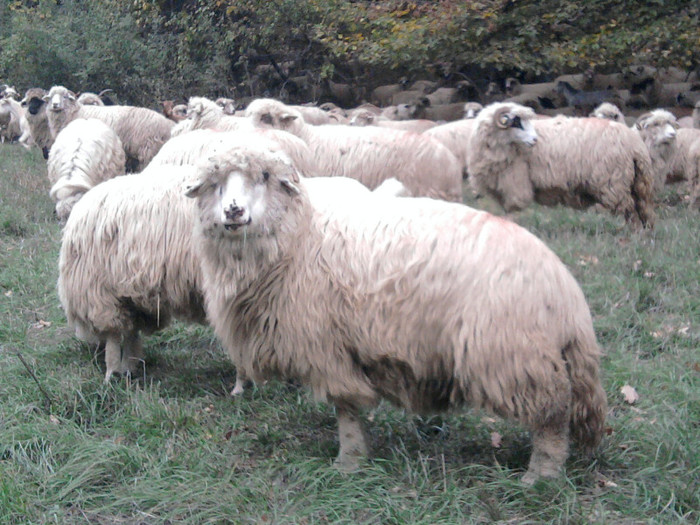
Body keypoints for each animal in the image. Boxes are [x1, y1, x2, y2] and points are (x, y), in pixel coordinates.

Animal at [45, 84, 175, 170]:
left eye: (65, 96)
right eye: (51, 97)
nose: (55, 105)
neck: (75, 113)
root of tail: (168, 125)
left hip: (148, 150)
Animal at [185, 143, 608, 484]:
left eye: (265, 177)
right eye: (216, 181)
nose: (233, 211)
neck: (299, 237)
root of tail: (566, 290)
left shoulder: (326, 346)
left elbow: (346, 408)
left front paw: (349, 462)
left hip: (514, 354)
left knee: (553, 416)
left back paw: (540, 477)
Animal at [470, 101, 656, 228]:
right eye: (517, 122)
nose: (535, 140)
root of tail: (635, 145)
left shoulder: (515, 183)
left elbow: (510, 210)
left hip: (613, 182)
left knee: (629, 210)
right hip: (637, 183)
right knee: (642, 208)